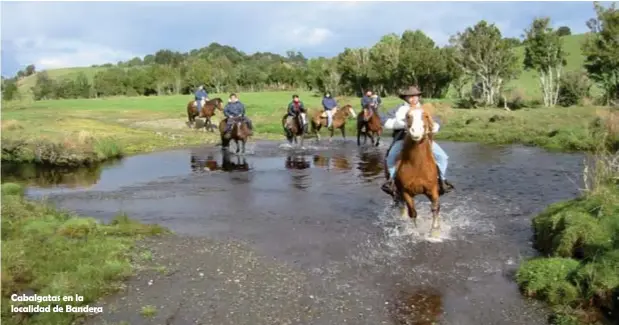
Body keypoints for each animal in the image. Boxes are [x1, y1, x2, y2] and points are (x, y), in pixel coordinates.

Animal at [390, 105, 444, 237]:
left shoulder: (433, 190)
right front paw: (416, 231)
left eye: (426, 116)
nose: (416, 131)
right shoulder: (405, 192)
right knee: (402, 206)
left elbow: (435, 208)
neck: (417, 166)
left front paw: (435, 232)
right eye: (408, 116)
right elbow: (412, 212)